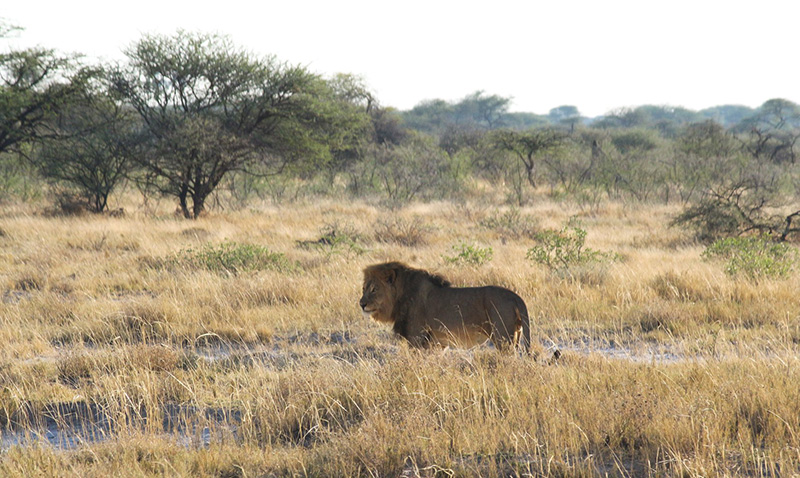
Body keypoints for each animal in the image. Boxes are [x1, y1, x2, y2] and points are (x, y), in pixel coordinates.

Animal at [360, 260, 528, 352]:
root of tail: (515, 296)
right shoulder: (436, 344)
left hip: (502, 338)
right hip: (516, 335)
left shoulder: (417, 338)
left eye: (374, 289)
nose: (361, 304)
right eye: (364, 288)